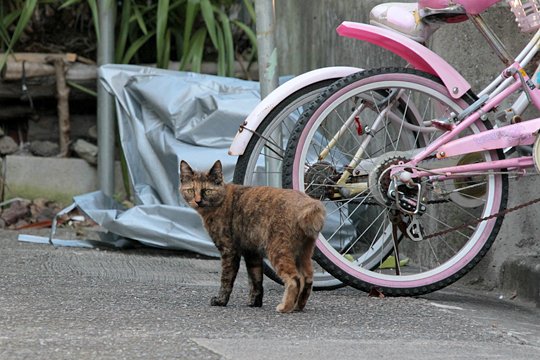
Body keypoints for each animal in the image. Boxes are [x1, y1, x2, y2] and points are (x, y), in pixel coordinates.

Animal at [180, 160, 324, 312]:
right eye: (191, 190)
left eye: (207, 191)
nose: (197, 201)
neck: (221, 200)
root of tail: (309, 203)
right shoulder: (252, 253)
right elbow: (256, 279)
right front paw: (255, 302)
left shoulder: (229, 250)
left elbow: (226, 279)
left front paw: (220, 301)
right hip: (303, 253)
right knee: (307, 278)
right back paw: (298, 306)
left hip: (278, 251)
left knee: (294, 279)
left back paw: (285, 307)